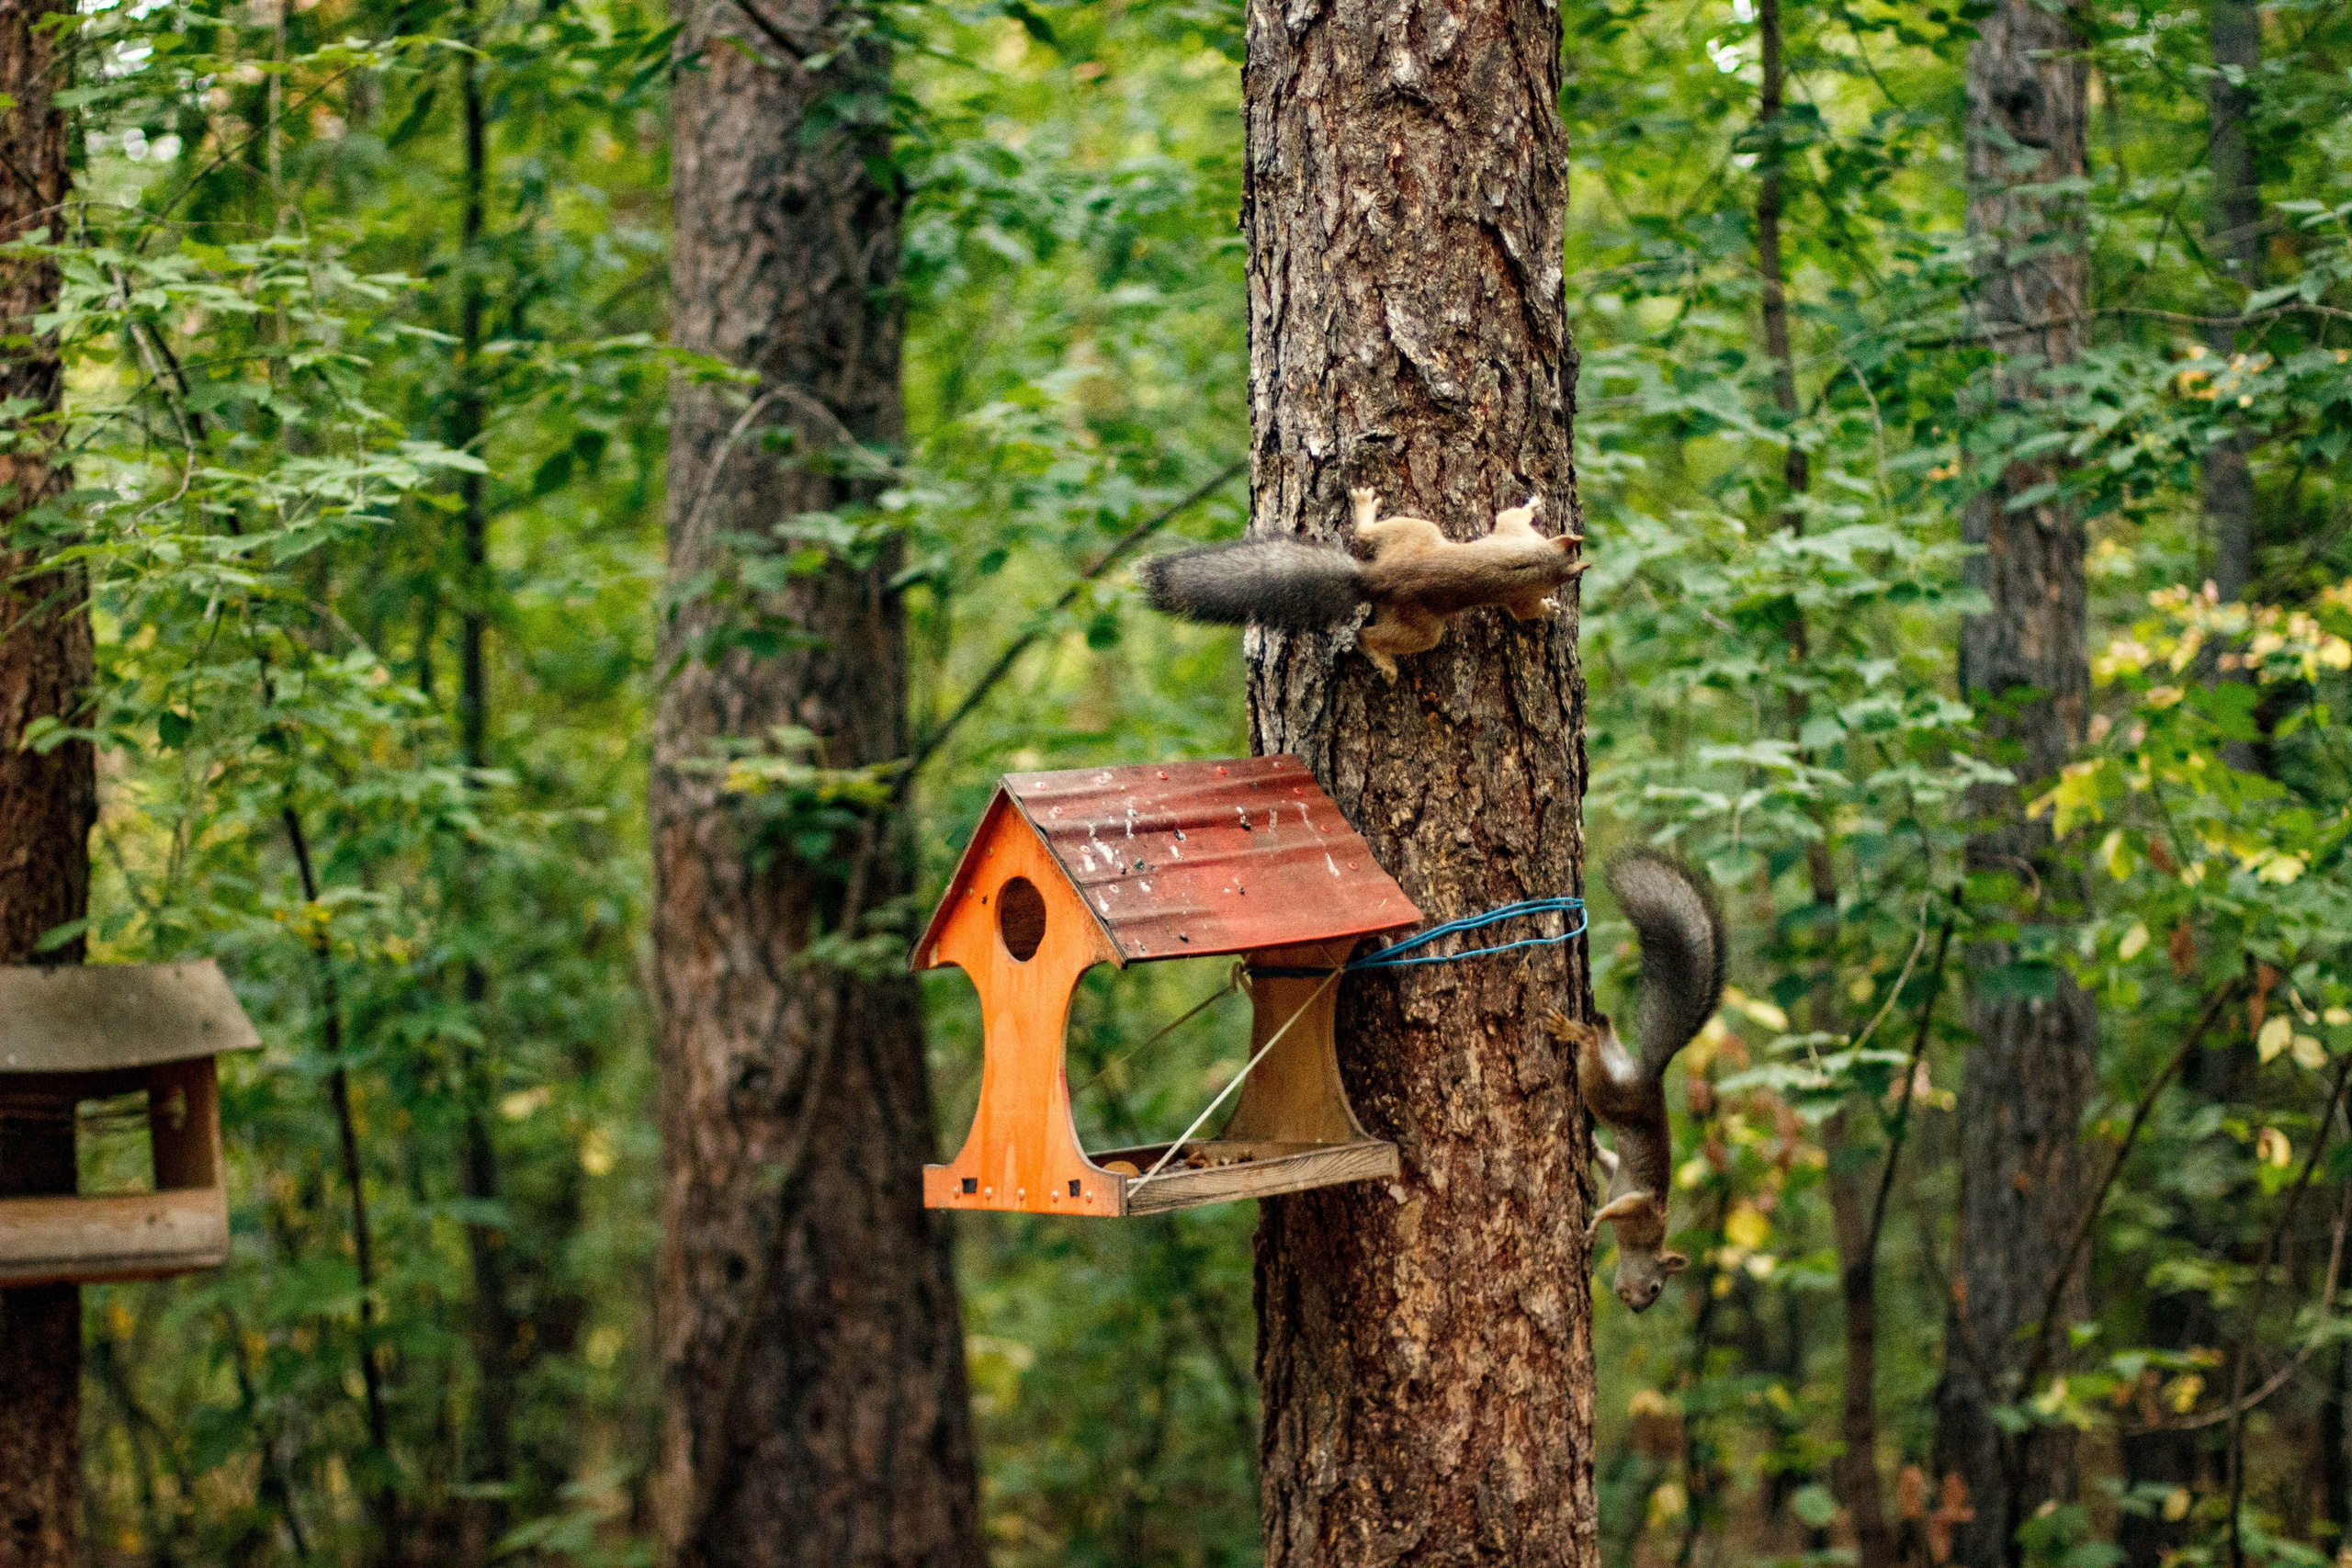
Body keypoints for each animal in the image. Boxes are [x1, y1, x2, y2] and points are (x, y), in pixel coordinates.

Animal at [1136, 487, 1589, 680]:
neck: (1544, 559)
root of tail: (1375, 578)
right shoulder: (1521, 587)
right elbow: (1525, 611)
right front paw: (1549, 609)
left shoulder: (1515, 535)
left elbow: (1509, 517)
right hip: (1422, 623)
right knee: (1370, 637)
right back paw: (1383, 661)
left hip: (1412, 535)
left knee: (1369, 535)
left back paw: (1363, 507)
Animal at [1544, 849, 1726, 1313]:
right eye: (1657, 1288)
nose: (1638, 1307)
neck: (1643, 1245)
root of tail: (1647, 1076)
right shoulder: (1643, 1209)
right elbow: (1619, 1208)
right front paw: (1594, 1225)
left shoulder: (1621, 1179)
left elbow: (1611, 1167)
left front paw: (1592, 1151)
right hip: (1610, 1094)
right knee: (1592, 1049)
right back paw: (1575, 1032)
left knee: (1604, 1026)